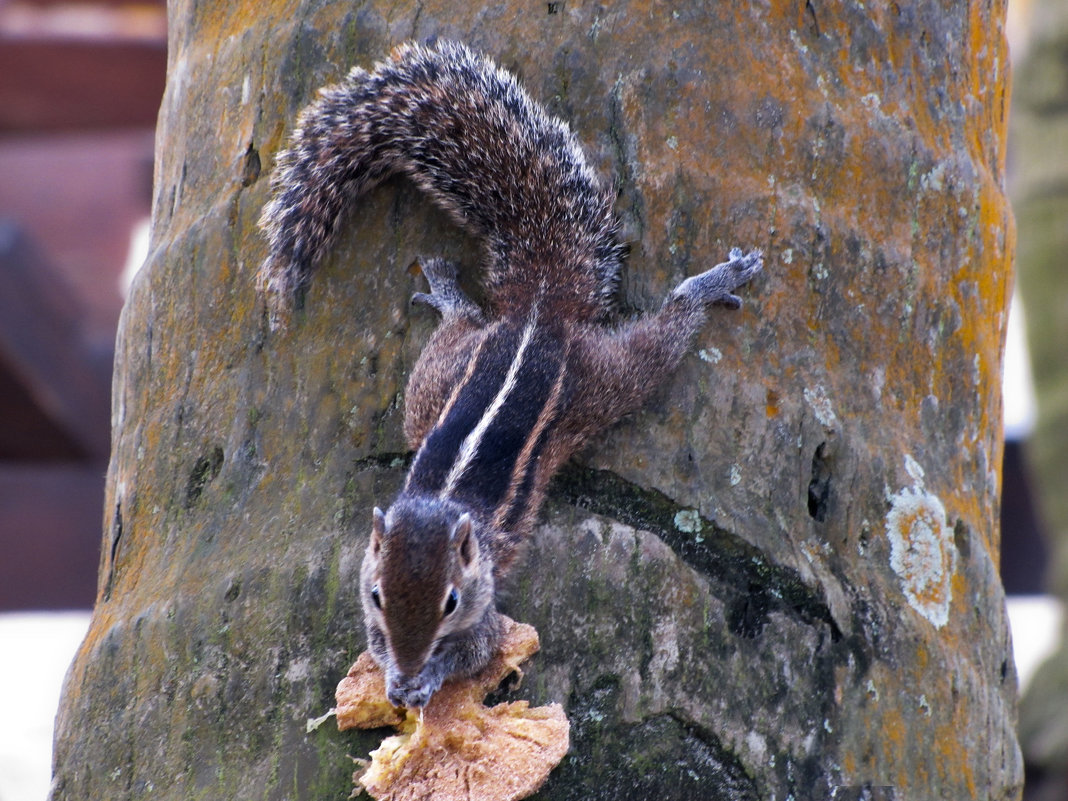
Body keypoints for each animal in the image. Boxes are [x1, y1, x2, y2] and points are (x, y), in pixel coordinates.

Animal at [256, 40, 760, 713]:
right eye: (377, 595)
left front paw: (428, 680)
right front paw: (392, 678)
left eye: (451, 600)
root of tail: (536, 310)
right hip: (437, 383)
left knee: (659, 341)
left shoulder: (487, 605)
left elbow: (481, 651)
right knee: (461, 330)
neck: (443, 505)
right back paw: (449, 296)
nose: (409, 672)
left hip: (595, 383)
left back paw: (707, 287)